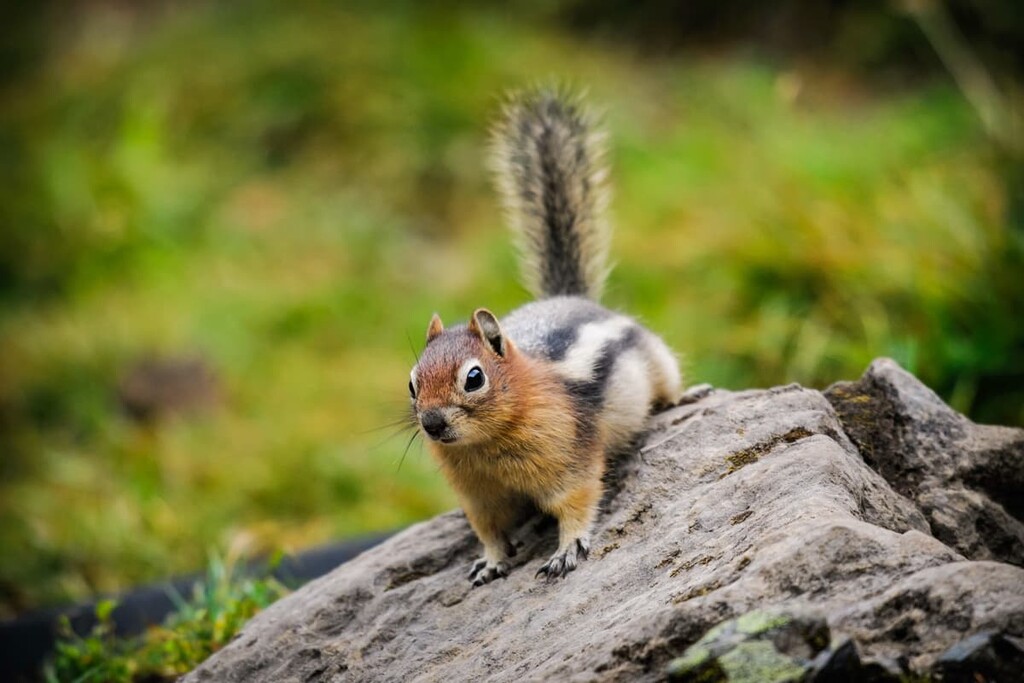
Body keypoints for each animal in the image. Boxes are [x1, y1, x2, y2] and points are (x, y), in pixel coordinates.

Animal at [408, 89, 682, 587]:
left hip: (659, 360)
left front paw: (567, 548)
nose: (432, 424)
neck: (485, 447)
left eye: (474, 378)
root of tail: (570, 297)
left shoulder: (570, 459)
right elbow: (488, 528)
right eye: (412, 384)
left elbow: (577, 501)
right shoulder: (478, 496)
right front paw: (491, 560)